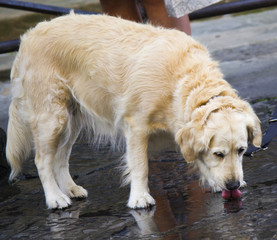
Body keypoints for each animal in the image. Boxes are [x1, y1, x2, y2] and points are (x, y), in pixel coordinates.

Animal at [5, 13, 260, 209]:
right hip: (52, 118)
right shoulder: (136, 126)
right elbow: (140, 166)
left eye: (241, 150)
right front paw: (139, 198)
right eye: (219, 153)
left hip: (72, 119)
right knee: (42, 160)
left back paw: (71, 189)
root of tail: (29, 36)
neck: (183, 81)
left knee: (60, 158)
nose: (233, 185)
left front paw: (215, 182)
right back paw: (55, 198)